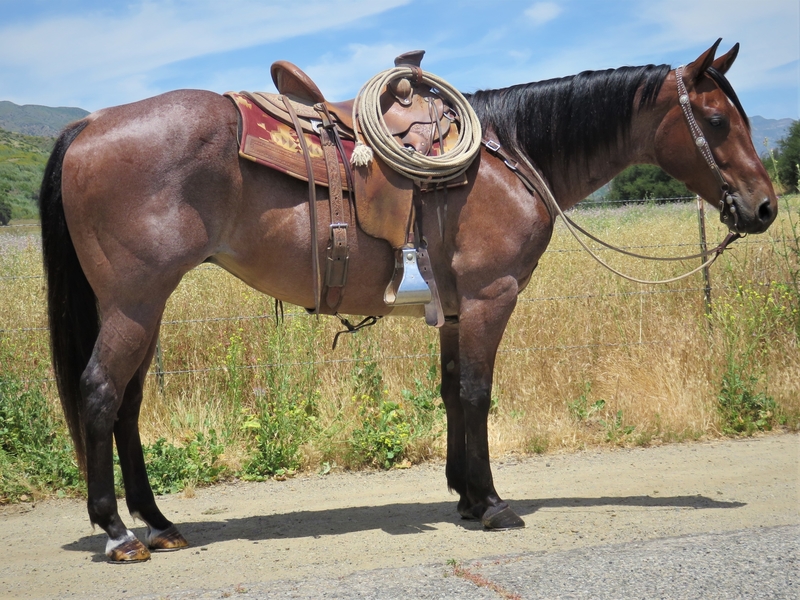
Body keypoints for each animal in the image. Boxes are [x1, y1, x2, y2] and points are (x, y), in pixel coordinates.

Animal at [39, 40, 776, 562]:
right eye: (716, 119)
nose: (765, 207)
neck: (509, 158)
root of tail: (91, 126)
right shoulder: (489, 297)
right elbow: (477, 392)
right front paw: (492, 503)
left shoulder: (454, 307)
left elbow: (451, 390)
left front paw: (465, 494)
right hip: (135, 302)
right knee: (101, 394)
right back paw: (117, 533)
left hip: (143, 307)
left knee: (128, 406)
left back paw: (159, 524)